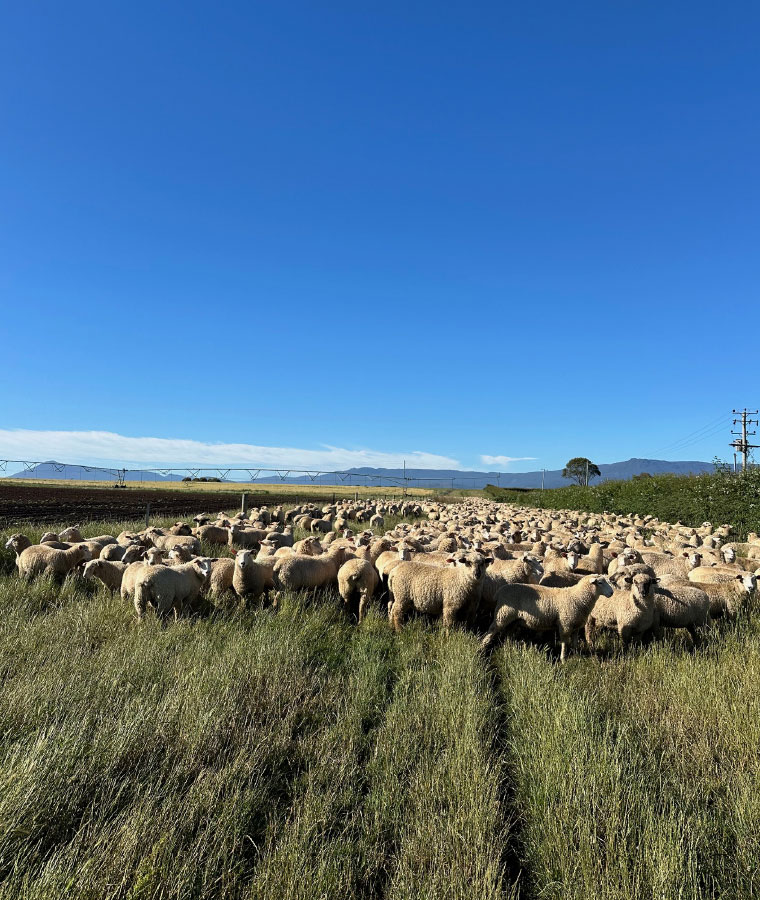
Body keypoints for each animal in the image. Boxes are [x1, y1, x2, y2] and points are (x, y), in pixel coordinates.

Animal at [481, 575, 614, 660]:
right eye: (600, 582)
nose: (611, 593)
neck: (578, 597)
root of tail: (501, 590)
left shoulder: (576, 625)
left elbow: (575, 642)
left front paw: (576, 654)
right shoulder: (565, 624)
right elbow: (564, 642)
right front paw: (563, 658)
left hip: (514, 619)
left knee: (508, 633)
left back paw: (508, 647)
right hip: (503, 614)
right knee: (492, 630)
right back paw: (483, 646)